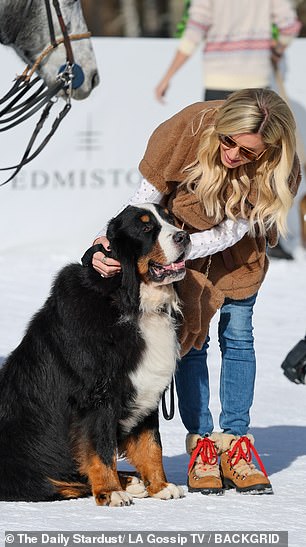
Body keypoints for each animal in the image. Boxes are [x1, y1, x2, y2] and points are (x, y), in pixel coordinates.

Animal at [0, 203, 190, 508]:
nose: (184, 237)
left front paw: (160, 486)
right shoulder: (96, 396)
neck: (131, 302)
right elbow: (101, 450)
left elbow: (152, 445)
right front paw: (111, 492)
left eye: (170, 219)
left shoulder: (148, 388)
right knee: (59, 484)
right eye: (146, 227)